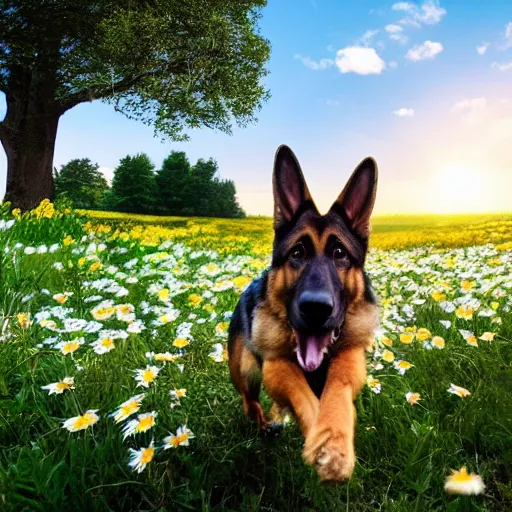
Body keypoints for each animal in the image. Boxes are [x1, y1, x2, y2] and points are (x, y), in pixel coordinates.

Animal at [228, 146, 380, 482]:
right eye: (297, 253)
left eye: (340, 254)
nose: (316, 307)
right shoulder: (276, 366)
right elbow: (301, 392)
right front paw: (324, 445)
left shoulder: (350, 359)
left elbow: (337, 389)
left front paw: (335, 439)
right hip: (245, 373)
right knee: (250, 403)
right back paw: (266, 423)